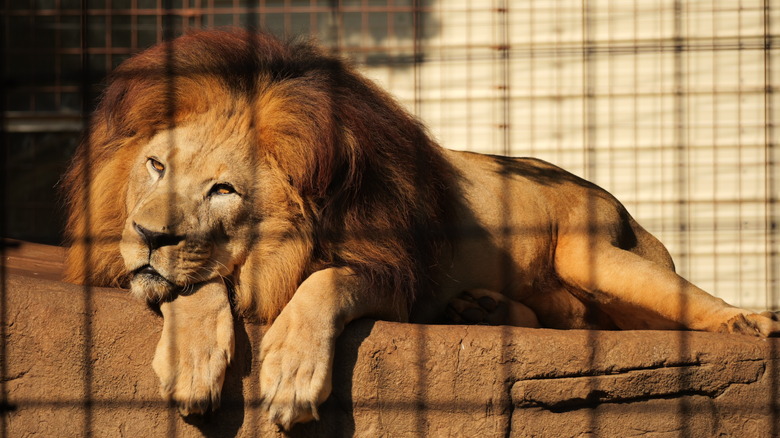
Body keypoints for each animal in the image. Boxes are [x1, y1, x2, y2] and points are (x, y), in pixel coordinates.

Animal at [64, 29, 780, 430]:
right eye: (156, 166)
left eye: (223, 191)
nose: (146, 235)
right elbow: (194, 288)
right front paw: (193, 361)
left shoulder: (394, 271)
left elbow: (324, 283)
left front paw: (291, 372)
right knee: (572, 317)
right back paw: (481, 307)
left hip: (592, 250)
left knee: (672, 300)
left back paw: (748, 321)